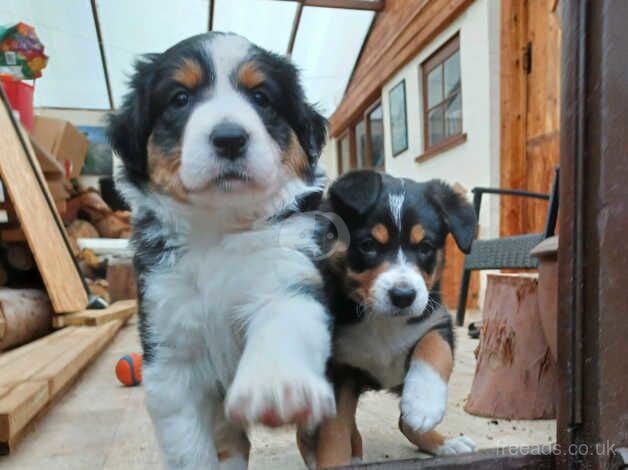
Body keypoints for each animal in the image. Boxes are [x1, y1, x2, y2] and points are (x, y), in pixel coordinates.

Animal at [106, 31, 338, 468]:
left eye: (261, 97)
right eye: (180, 98)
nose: (230, 139)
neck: (218, 229)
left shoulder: (288, 276)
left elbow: (282, 321)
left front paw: (276, 385)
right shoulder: (169, 354)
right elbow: (188, 447)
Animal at [300, 171, 476, 468]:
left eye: (425, 247)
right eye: (368, 246)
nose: (403, 296)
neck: (384, 323)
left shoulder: (437, 319)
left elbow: (434, 349)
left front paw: (423, 403)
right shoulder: (338, 371)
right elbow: (334, 431)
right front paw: (332, 460)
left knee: (404, 424)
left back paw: (444, 443)